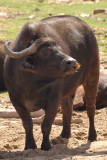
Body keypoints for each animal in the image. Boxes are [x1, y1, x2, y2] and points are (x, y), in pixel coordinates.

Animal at [3, 15, 99, 151]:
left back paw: (92, 136)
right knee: (68, 108)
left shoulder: (53, 100)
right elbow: (27, 123)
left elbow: (46, 124)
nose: (72, 62)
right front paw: (29, 146)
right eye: (45, 52)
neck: (31, 84)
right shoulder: (15, 100)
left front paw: (46, 145)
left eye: (60, 49)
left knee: (91, 108)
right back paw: (64, 135)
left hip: (92, 77)